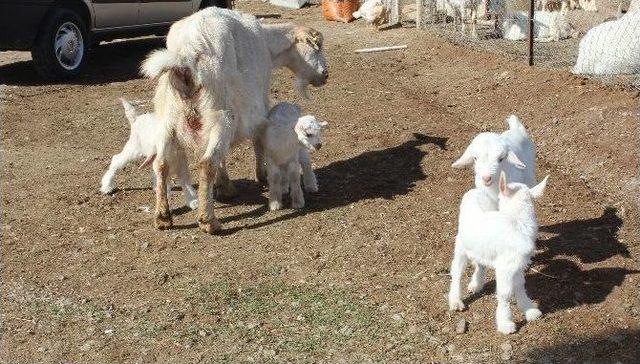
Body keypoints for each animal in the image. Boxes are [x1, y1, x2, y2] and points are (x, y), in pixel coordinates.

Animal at [142, 7, 328, 233]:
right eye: (317, 47)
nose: (326, 75)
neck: (268, 44)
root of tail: (186, 53)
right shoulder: (260, 104)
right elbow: (258, 141)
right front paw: (261, 175)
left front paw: (224, 186)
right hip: (221, 114)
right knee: (207, 163)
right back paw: (208, 220)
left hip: (168, 116)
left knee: (161, 163)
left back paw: (162, 217)